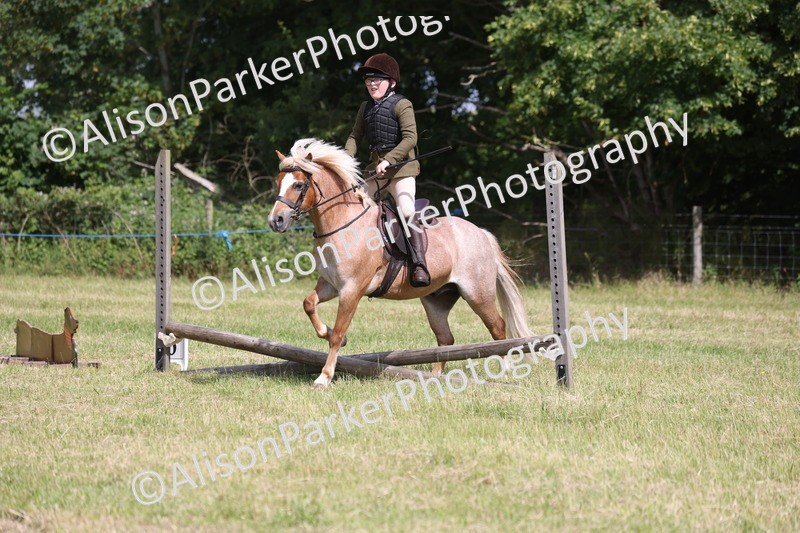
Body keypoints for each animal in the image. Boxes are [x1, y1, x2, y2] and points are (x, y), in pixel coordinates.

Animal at [268, 138, 534, 389]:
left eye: (298, 185)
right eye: (277, 182)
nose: (275, 221)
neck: (343, 226)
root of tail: (481, 233)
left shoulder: (352, 289)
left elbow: (338, 332)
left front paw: (324, 377)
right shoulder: (330, 285)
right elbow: (309, 304)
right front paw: (328, 332)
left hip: (477, 294)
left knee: (497, 328)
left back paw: (504, 372)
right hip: (436, 301)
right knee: (445, 339)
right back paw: (434, 377)